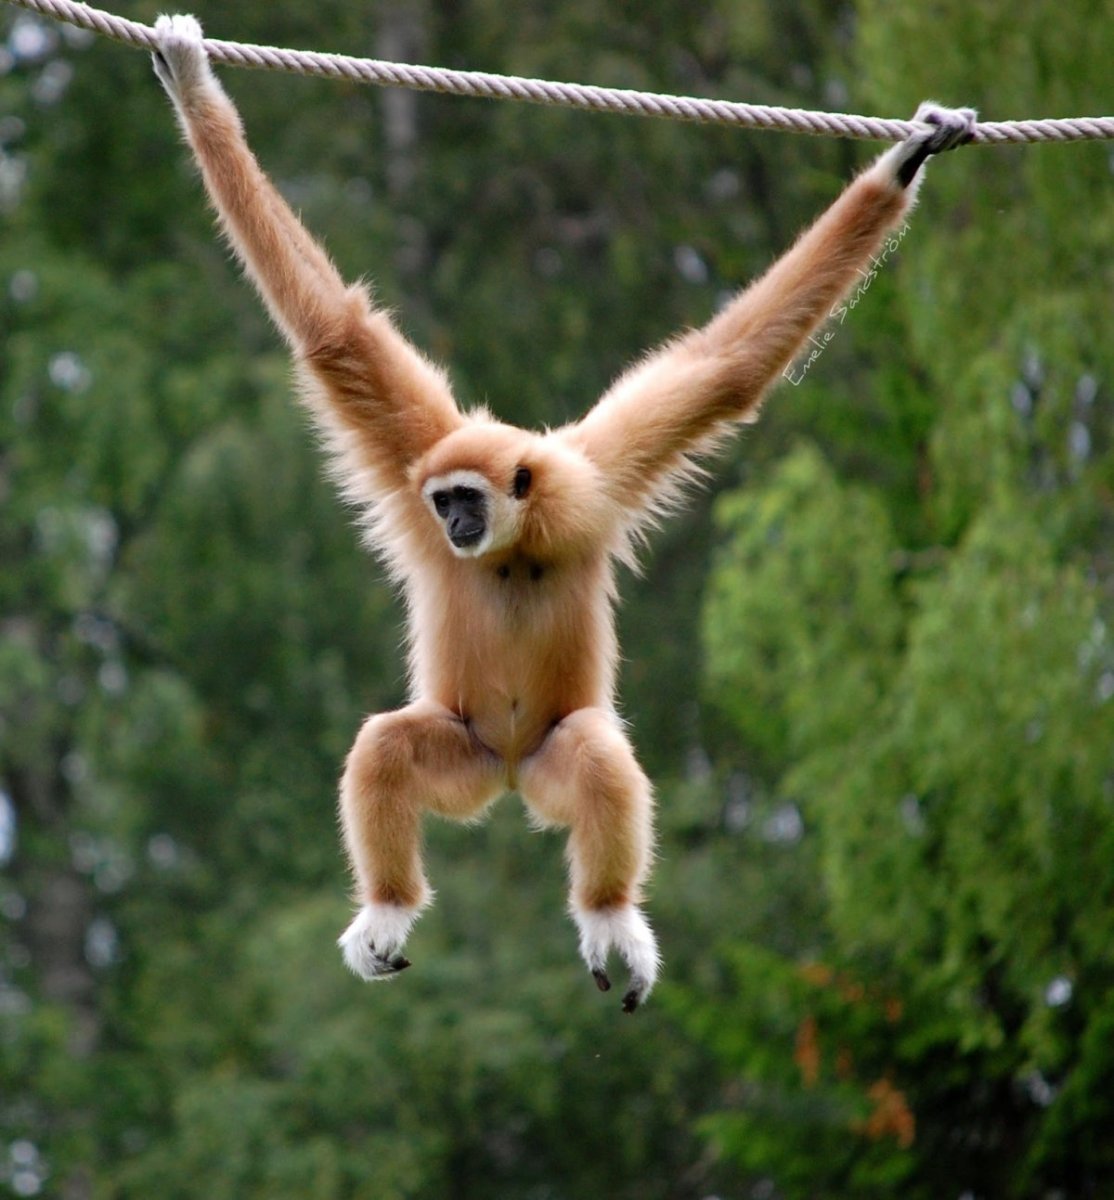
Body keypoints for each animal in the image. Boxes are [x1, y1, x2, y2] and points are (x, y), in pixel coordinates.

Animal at [152, 13, 975, 1012]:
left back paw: (609, 913)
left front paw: (905, 160)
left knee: (589, 754)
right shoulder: (417, 453)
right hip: (464, 755)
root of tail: (508, 777)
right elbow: (332, 332)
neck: (517, 538)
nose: (455, 527)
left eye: (468, 500)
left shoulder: (593, 479)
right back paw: (389, 907)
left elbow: (724, 367)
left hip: (537, 759)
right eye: (442, 503)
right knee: (391, 745)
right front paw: (192, 84)